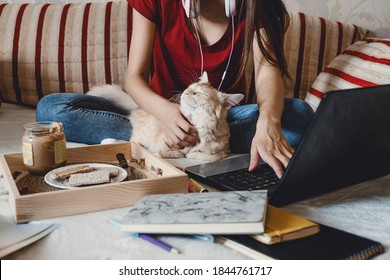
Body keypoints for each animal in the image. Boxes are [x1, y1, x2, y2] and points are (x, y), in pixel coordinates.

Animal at [87, 79, 244, 162]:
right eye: (189, 87)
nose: (185, 92)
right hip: (141, 136)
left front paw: (192, 153)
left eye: (198, 93)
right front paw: (182, 153)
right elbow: (164, 152)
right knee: (132, 142)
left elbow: (211, 157)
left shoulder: (225, 149)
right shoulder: (163, 142)